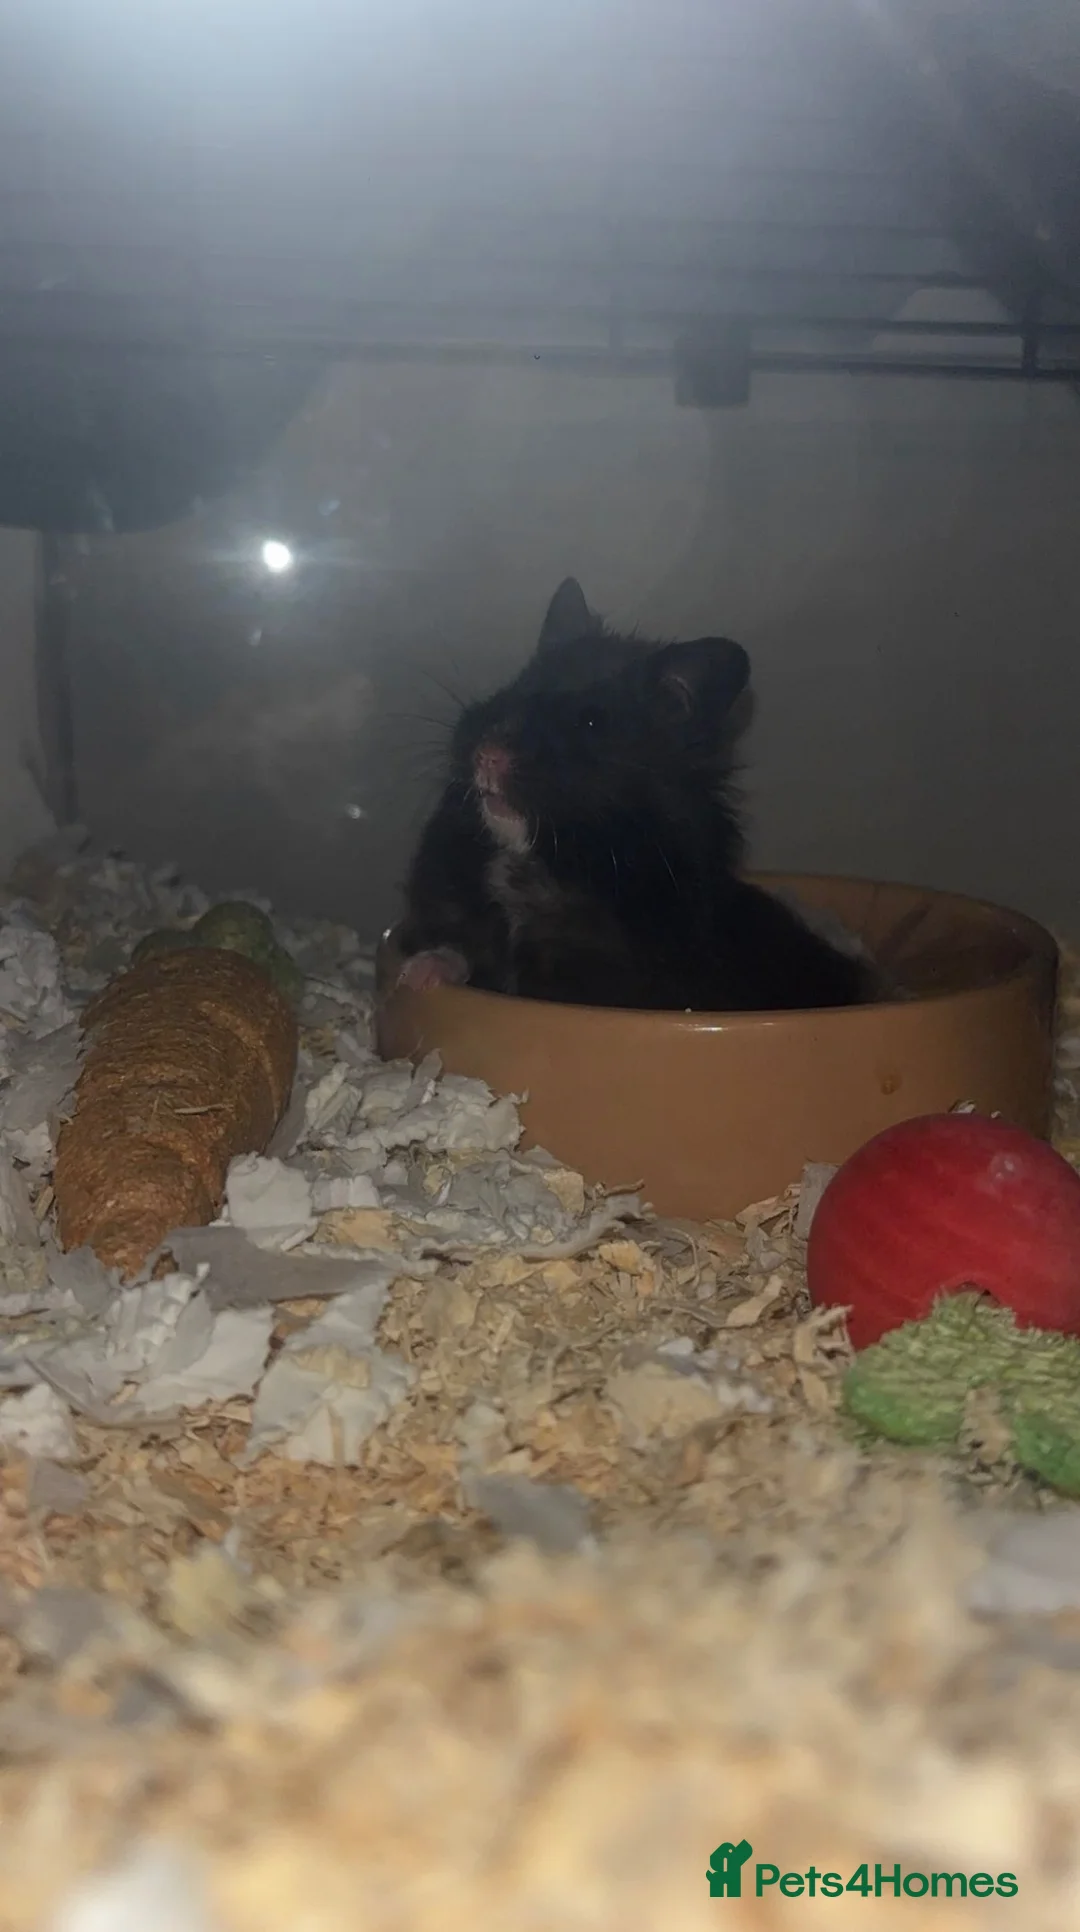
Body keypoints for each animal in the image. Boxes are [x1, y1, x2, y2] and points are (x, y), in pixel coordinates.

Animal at [396, 578, 878, 1012]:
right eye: (515, 684)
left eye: (592, 723)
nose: (486, 755)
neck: (535, 854)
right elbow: (460, 949)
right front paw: (415, 975)